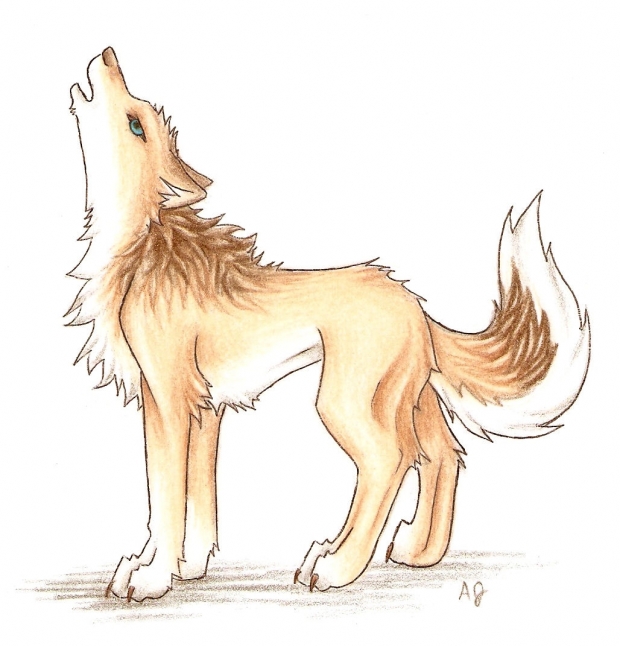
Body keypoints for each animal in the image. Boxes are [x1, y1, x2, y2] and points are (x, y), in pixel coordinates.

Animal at [67, 47, 590, 602]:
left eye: (135, 124)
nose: (107, 54)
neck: (141, 243)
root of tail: (413, 302)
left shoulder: (168, 400)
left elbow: (165, 496)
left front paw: (151, 578)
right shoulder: (201, 408)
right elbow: (195, 498)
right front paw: (183, 567)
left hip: (344, 401)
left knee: (388, 461)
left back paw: (337, 568)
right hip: (406, 396)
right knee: (442, 455)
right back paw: (412, 552)